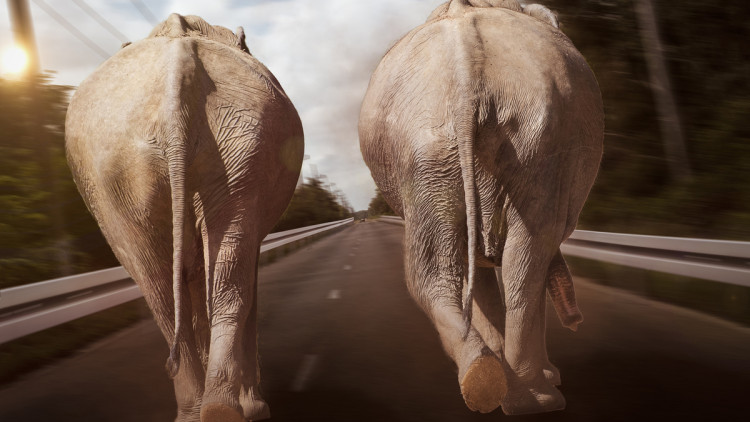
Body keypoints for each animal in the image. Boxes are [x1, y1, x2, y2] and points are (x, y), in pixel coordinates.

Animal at [64, 13, 304, 422]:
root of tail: (179, 63)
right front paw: (254, 405)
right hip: (237, 138)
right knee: (224, 281)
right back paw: (224, 409)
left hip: (127, 165)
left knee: (159, 286)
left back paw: (202, 410)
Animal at [358, 0, 604, 416]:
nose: (577, 321)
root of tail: (464, 80)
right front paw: (548, 377)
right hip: (530, 142)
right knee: (529, 254)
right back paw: (536, 398)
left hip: (434, 149)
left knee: (445, 268)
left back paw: (488, 382)